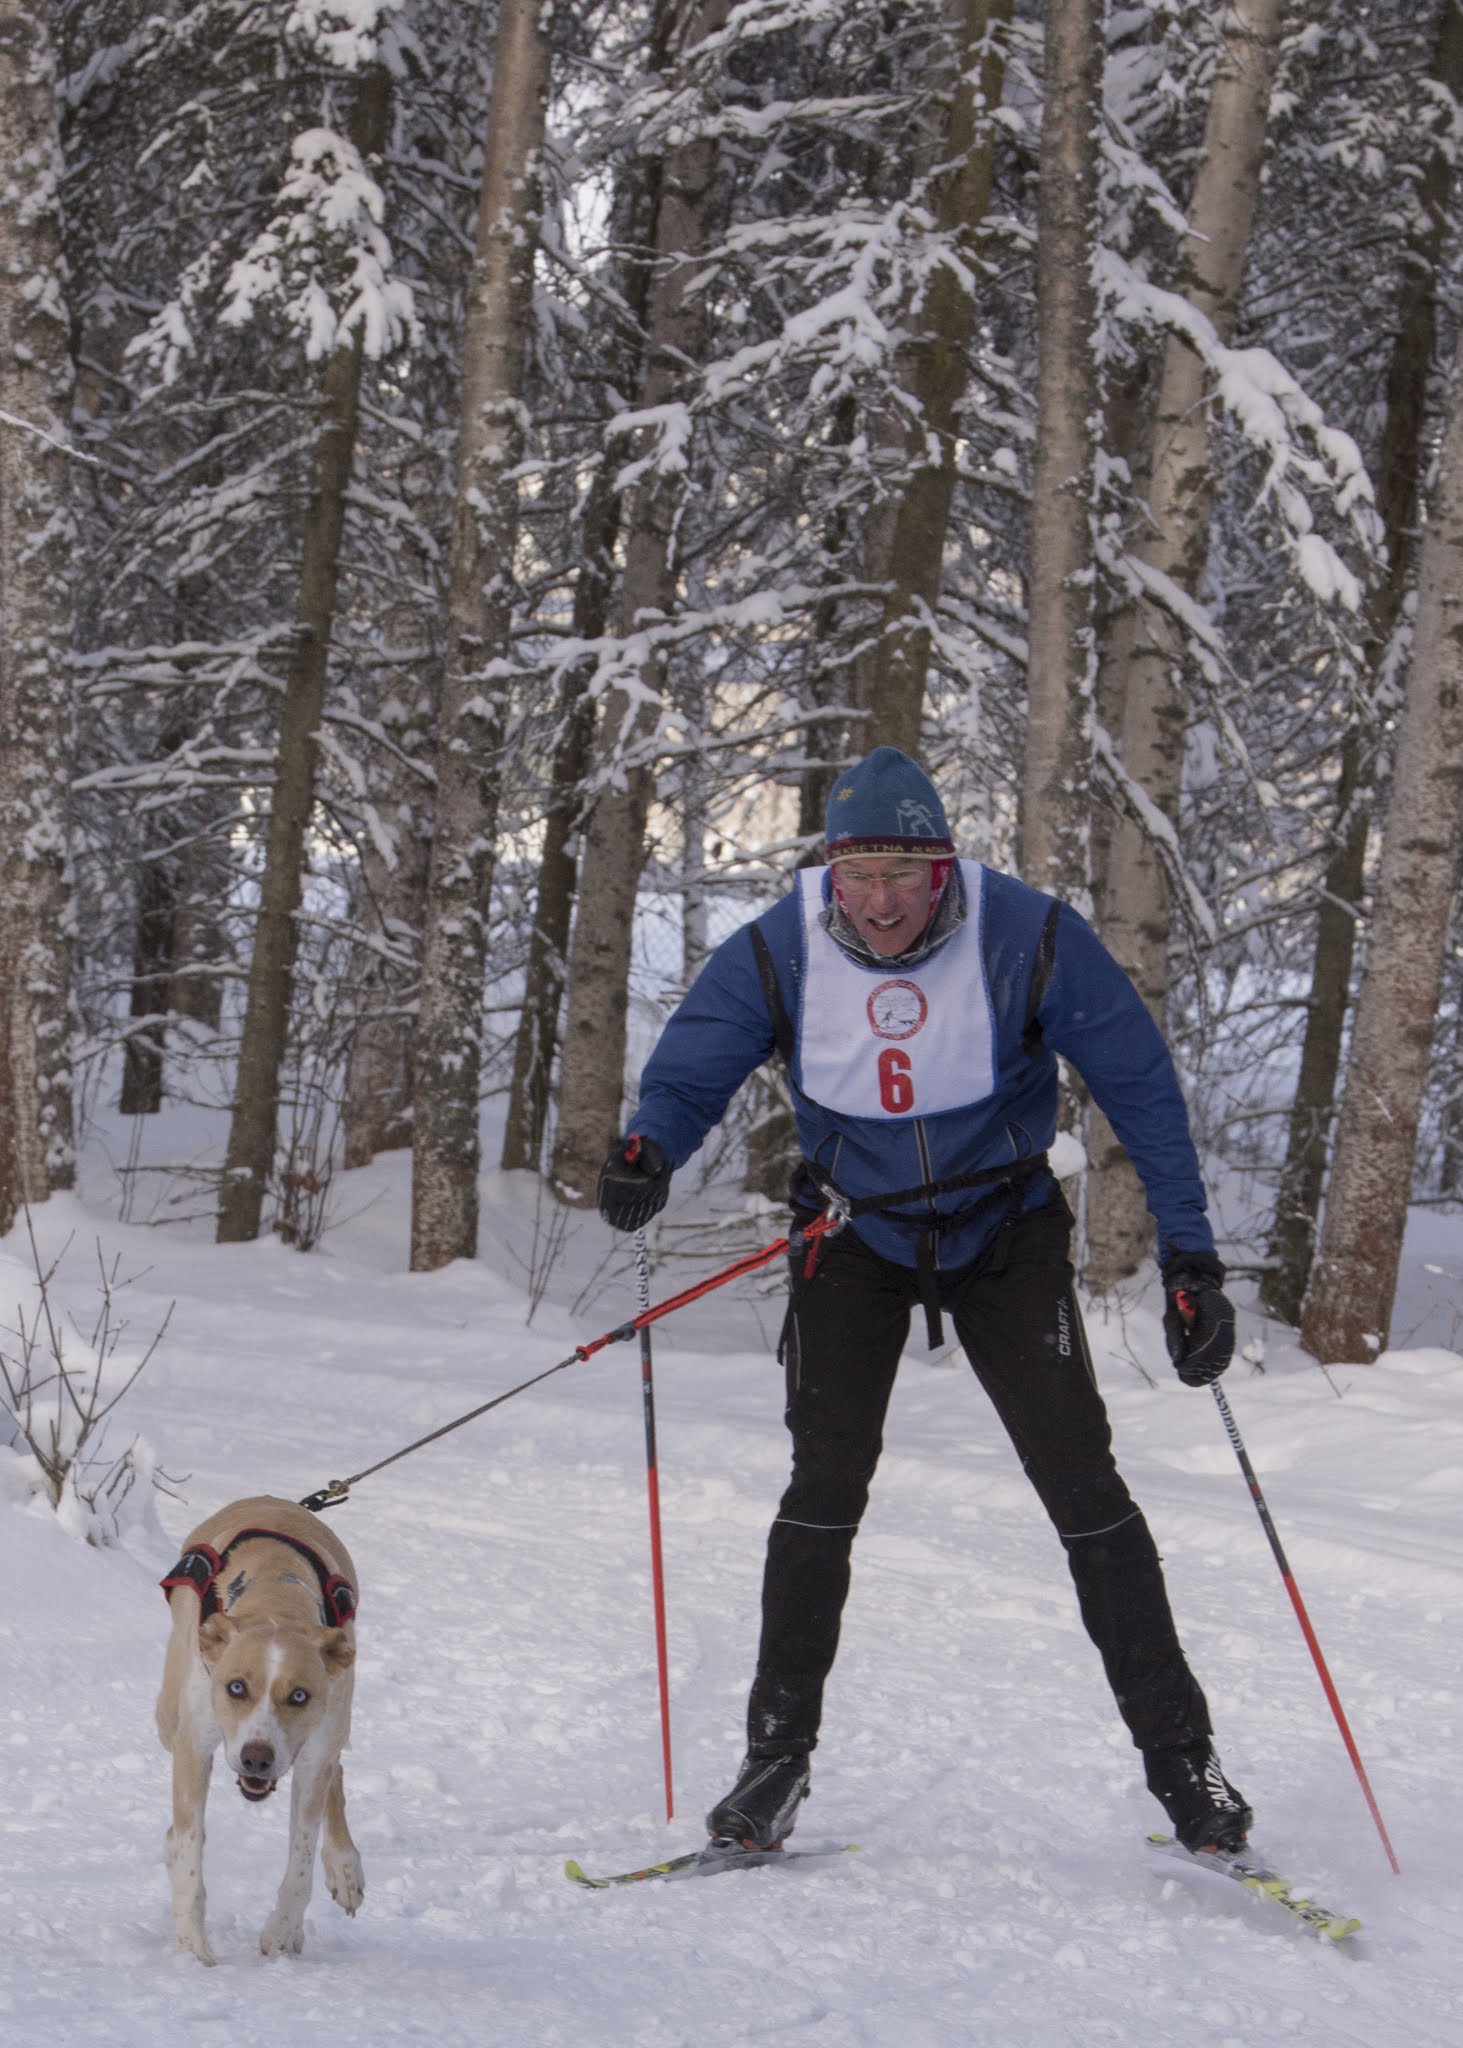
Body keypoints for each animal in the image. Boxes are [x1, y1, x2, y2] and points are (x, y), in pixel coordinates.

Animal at [152, 1499, 362, 1957]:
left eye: (299, 1695)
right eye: (236, 1687)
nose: (256, 1759)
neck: (276, 1599)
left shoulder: (314, 1754)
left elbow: (301, 1857)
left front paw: (283, 1932)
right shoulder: (194, 1745)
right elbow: (190, 1844)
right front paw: (193, 1943)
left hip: (333, 1726)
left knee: (336, 1771)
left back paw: (344, 1867)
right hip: (168, 1718)